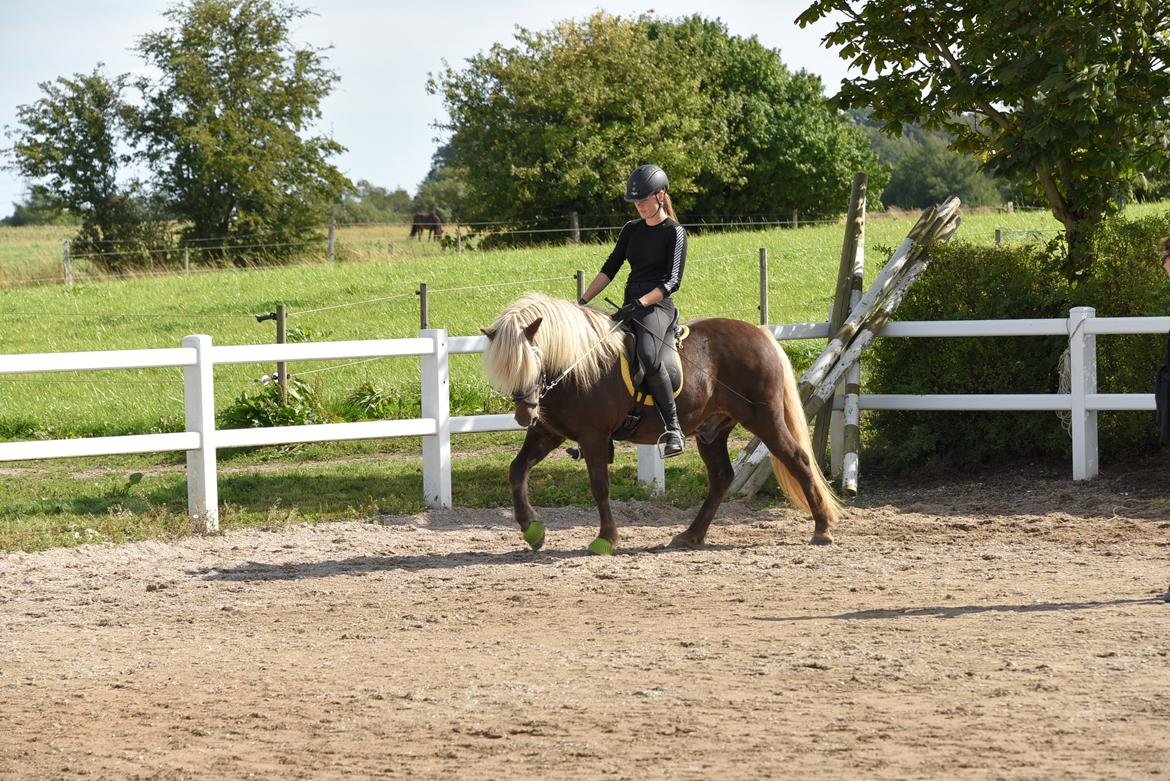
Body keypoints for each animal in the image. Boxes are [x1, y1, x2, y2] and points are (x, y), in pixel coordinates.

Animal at [479, 291, 837, 554]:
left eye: (533, 358)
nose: (524, 415)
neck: (577, 364)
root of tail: (762, 335)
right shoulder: (548, 433)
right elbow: (517, 470)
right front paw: (532, 530)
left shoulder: (593, 436)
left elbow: (599, 486)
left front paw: (606, 539)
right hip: (712, 431)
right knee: (722, 477)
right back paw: (690, 536)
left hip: (764, 419)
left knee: (798, 459)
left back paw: (821, 529)